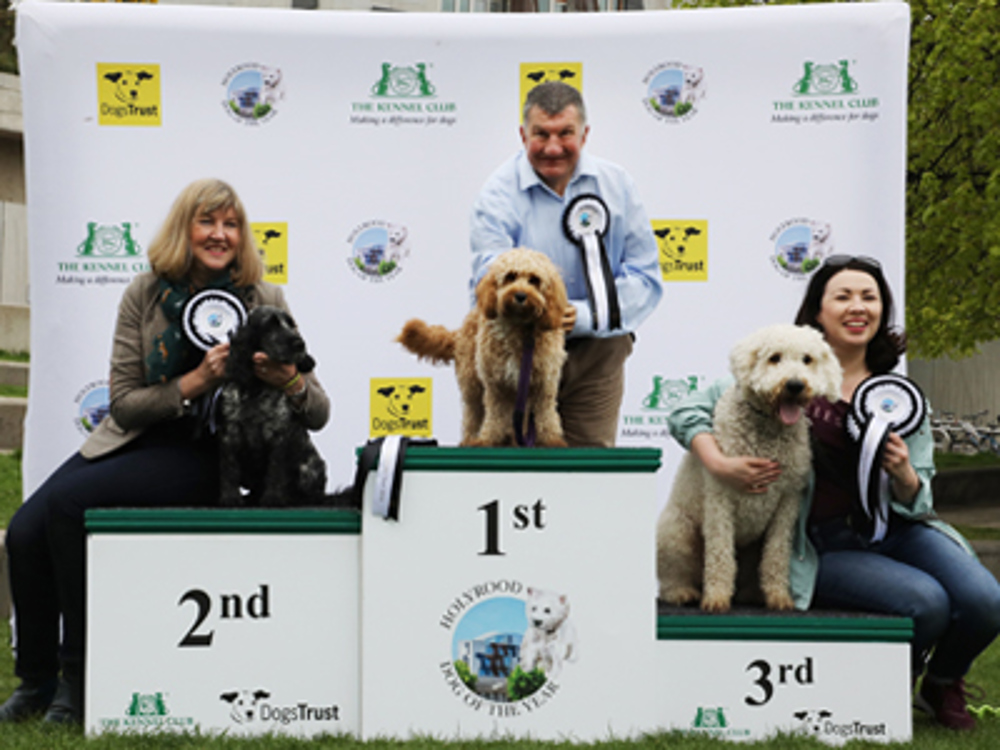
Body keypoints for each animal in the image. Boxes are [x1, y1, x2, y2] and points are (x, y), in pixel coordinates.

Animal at [219, 306, 328, 512]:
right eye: (270, 325)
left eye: (291, 325)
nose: (300, 344)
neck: (256, 387)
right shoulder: (230, 433)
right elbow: (229, 467)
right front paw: (230, 498)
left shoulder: (279, 434)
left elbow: (276, 470)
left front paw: (273, 499)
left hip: (311, 466)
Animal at [398, 248, 572, 446]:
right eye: (510, 276)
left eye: (534, 280)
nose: (520, 296)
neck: (520, 328)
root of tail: (460, 332)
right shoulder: (496, 383)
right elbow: (495, 415)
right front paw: (488, 439)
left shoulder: (544, 382)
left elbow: (546, 415)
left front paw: (552, 440)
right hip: (472, 382)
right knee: (473, 415)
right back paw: (471, 439)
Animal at [656, 326, 844, 612]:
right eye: (774, 358)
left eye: (807, 359)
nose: (795, 385)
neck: (768, 431)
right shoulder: (720, 499)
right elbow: (721, 553)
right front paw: (717, 597)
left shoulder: (788, 500)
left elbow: (776, 553)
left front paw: (778, 596)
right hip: (676, 531)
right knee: (674, 573)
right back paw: (682, 592)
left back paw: (752, 593)